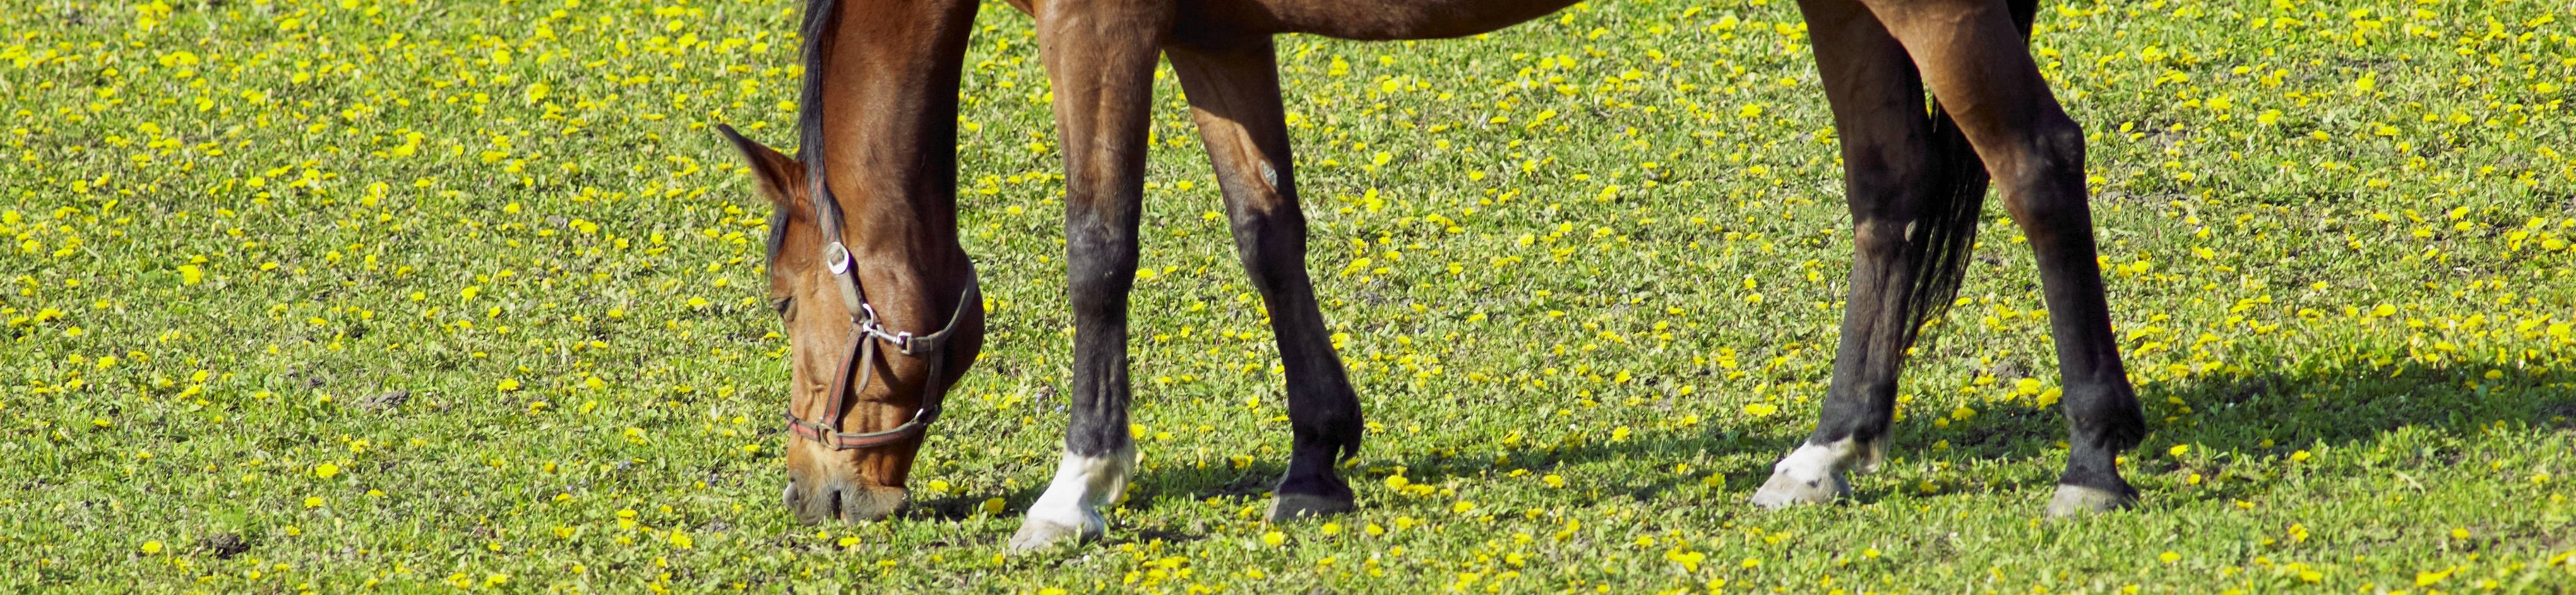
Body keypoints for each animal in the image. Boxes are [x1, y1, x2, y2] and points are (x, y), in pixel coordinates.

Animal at [715, 0, 2145, 550]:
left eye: (785, 300)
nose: (822, 495)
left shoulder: (1102, 33)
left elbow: (1098, 253)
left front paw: (1077, 489)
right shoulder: (1216, 34)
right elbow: (1267, 231)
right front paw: (1314, 462)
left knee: (2036, 165)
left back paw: (2093, 455)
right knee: (1890, 191)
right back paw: (1828, 450)